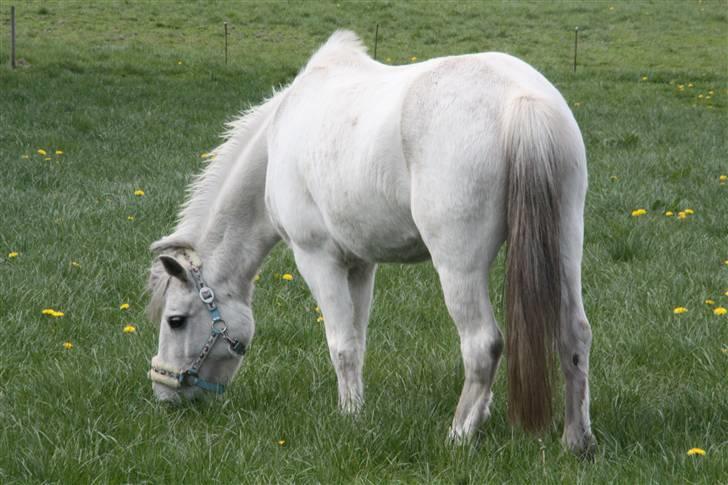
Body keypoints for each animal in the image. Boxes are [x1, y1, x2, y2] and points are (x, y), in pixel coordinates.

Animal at [149, 29, 596, 454]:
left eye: (176, 320)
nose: (163, 393)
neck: (280, 134)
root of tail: (521, 99)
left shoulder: (318, 259)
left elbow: (341, 345)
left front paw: (349, 417)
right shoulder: (361, 265)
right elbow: (358, 342)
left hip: (459, 267)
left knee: (482, 344)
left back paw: (458, 435)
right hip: (565, 245)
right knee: (574, 334)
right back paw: (576, 440)